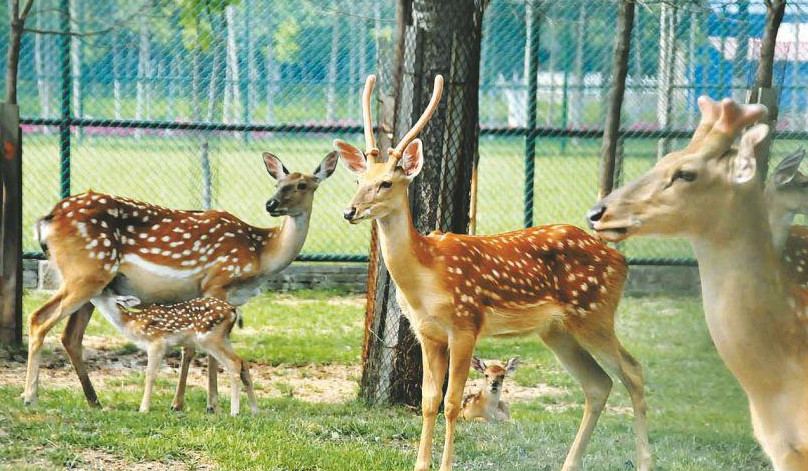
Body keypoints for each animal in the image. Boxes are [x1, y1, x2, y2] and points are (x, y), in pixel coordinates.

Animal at [90, 294, 258, 418]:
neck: (132, 324)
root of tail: (233, 310)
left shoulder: (156, 343)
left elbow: (150, 374)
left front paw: (143, 409)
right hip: (223, 338)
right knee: (243, 362)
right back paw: (255, 410)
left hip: (209, 338)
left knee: (234, 363)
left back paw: (234, 412)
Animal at [332, 74, 652, 471]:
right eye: (358, 181)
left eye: (387, 182)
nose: (350, 211)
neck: (426, 276)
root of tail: (622, 262)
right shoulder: (427, 333)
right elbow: (427, 401)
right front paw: (421, 464)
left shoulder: (466, 324)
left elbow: (451, 403)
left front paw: (446, 465)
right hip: (558, 329)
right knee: (598, 384)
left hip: (595, 312)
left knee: (633, 372)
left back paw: (644, 461)